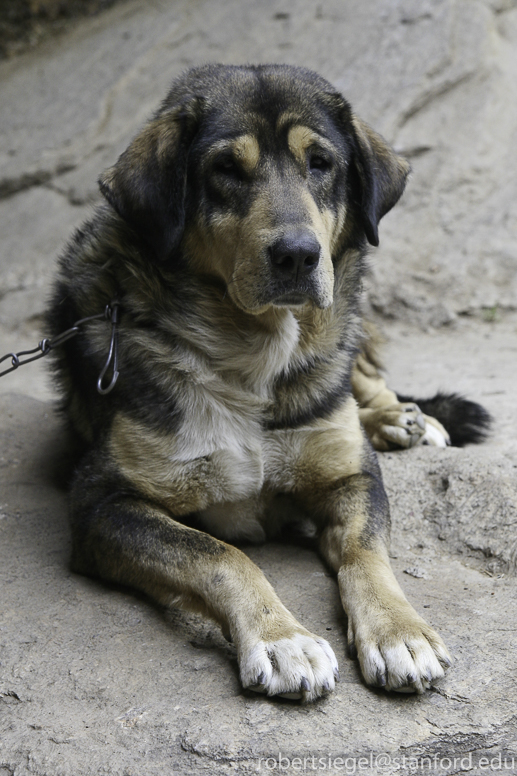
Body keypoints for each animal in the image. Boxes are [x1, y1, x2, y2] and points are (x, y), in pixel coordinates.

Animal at [46, 63, 490, 700]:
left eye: (321, 163)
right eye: (226, 170)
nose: (298, 255)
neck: (252, 357)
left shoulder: (351, 476)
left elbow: (366, 553)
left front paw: (399, 631)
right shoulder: (101, 502)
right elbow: (219, 554)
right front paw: (283, 639)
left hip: (347, 331)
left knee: (363, 378)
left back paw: (402, 418)